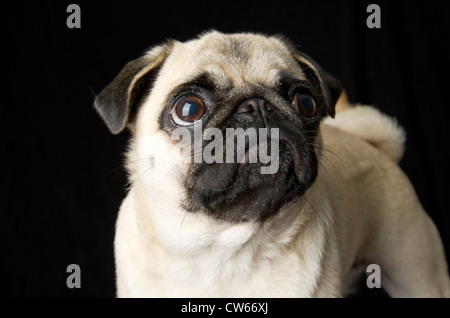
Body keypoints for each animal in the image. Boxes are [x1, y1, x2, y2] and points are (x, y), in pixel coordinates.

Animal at [94, 31, 450, 296]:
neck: (222, 250)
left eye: (305, 103)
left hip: (418, 272)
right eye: (189, 109)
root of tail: (377, 149)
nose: (256, 106)